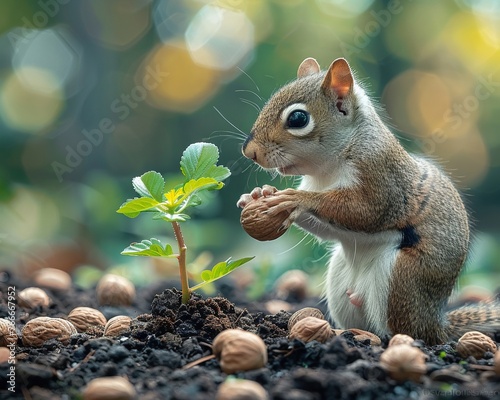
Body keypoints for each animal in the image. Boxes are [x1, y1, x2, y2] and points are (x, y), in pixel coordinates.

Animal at [236, 57, 500, 346]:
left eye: (298, 118)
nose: (249, 152)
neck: (328, 169)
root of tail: (435, 324)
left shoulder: (382, 181)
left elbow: (363, 212)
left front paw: (297, 198)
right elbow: (326, 229)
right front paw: (258, 194)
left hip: (400, 280)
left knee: (402, 332)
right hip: (340, 282)